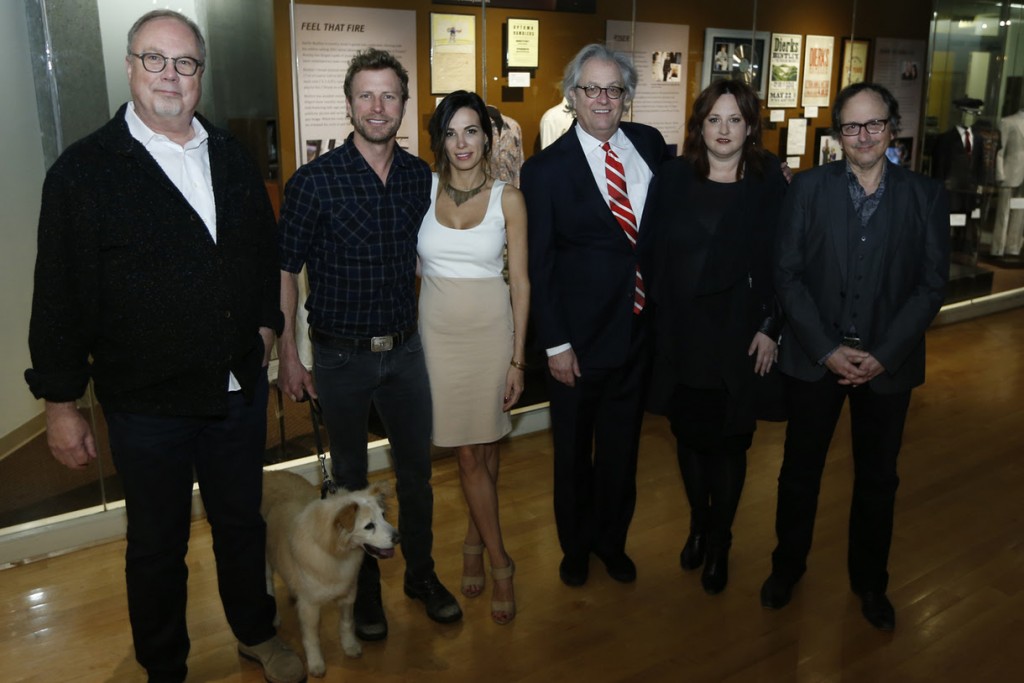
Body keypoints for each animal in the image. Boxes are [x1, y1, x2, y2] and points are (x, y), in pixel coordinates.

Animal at [262, 473, 397, 675]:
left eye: (383, 516)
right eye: (369, 526)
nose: (398, 537)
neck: (336, 553)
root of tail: (269, 473)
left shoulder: (348, 595)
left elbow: (346, 624)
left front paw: (349, 646)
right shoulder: (309, 607)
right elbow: (312, 639)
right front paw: (316, 663)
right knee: (268, 583)